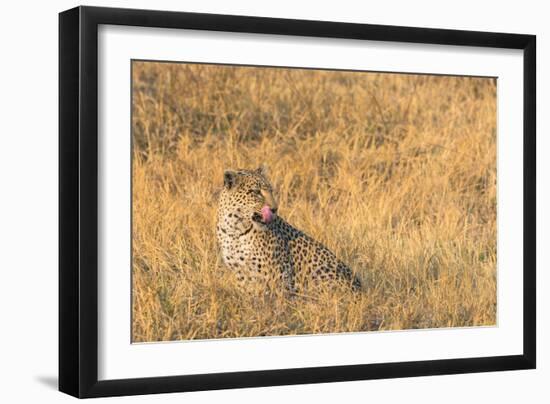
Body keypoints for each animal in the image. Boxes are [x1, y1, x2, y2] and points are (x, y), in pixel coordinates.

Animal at [217, 166, 366, 296]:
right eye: (256, 192)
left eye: (271, 190)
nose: (274, 209)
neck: (235, 229)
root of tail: (361, 289)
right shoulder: (241, 274)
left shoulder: (278, 272)